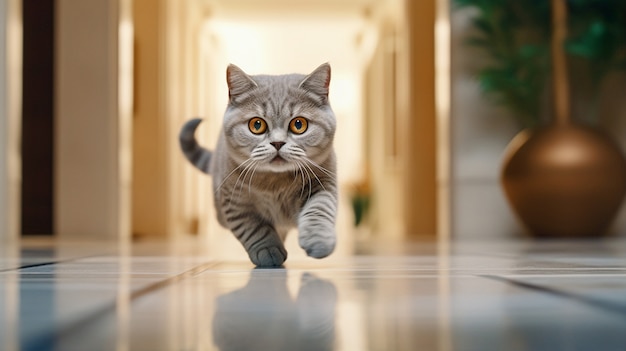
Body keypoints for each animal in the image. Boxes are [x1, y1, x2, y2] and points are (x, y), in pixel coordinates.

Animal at [178, 64, 336, 266]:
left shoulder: (323, 182)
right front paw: (268, 252)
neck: (275, 183)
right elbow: (253, 229)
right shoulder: (234, 202)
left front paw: (318, 240)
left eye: (299, 124)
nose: (277, 143)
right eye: (257, 125)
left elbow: (319, 209)